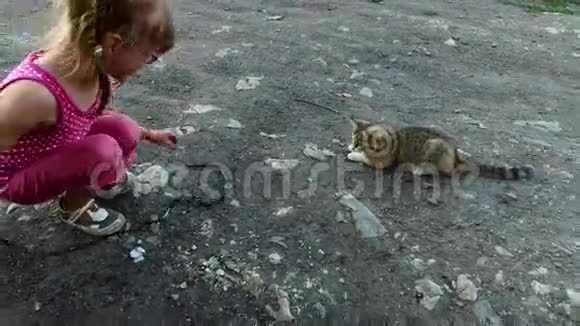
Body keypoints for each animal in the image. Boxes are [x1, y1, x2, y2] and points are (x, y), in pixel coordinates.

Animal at [344, 116, 536, 180]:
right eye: (353, 139)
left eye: (360, 143)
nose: (354, 145)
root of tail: (456, 155)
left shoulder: (384, 161)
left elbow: (368, 159)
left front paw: (354, 154)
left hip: (434, 147)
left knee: (440, 171)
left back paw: (418, 170)